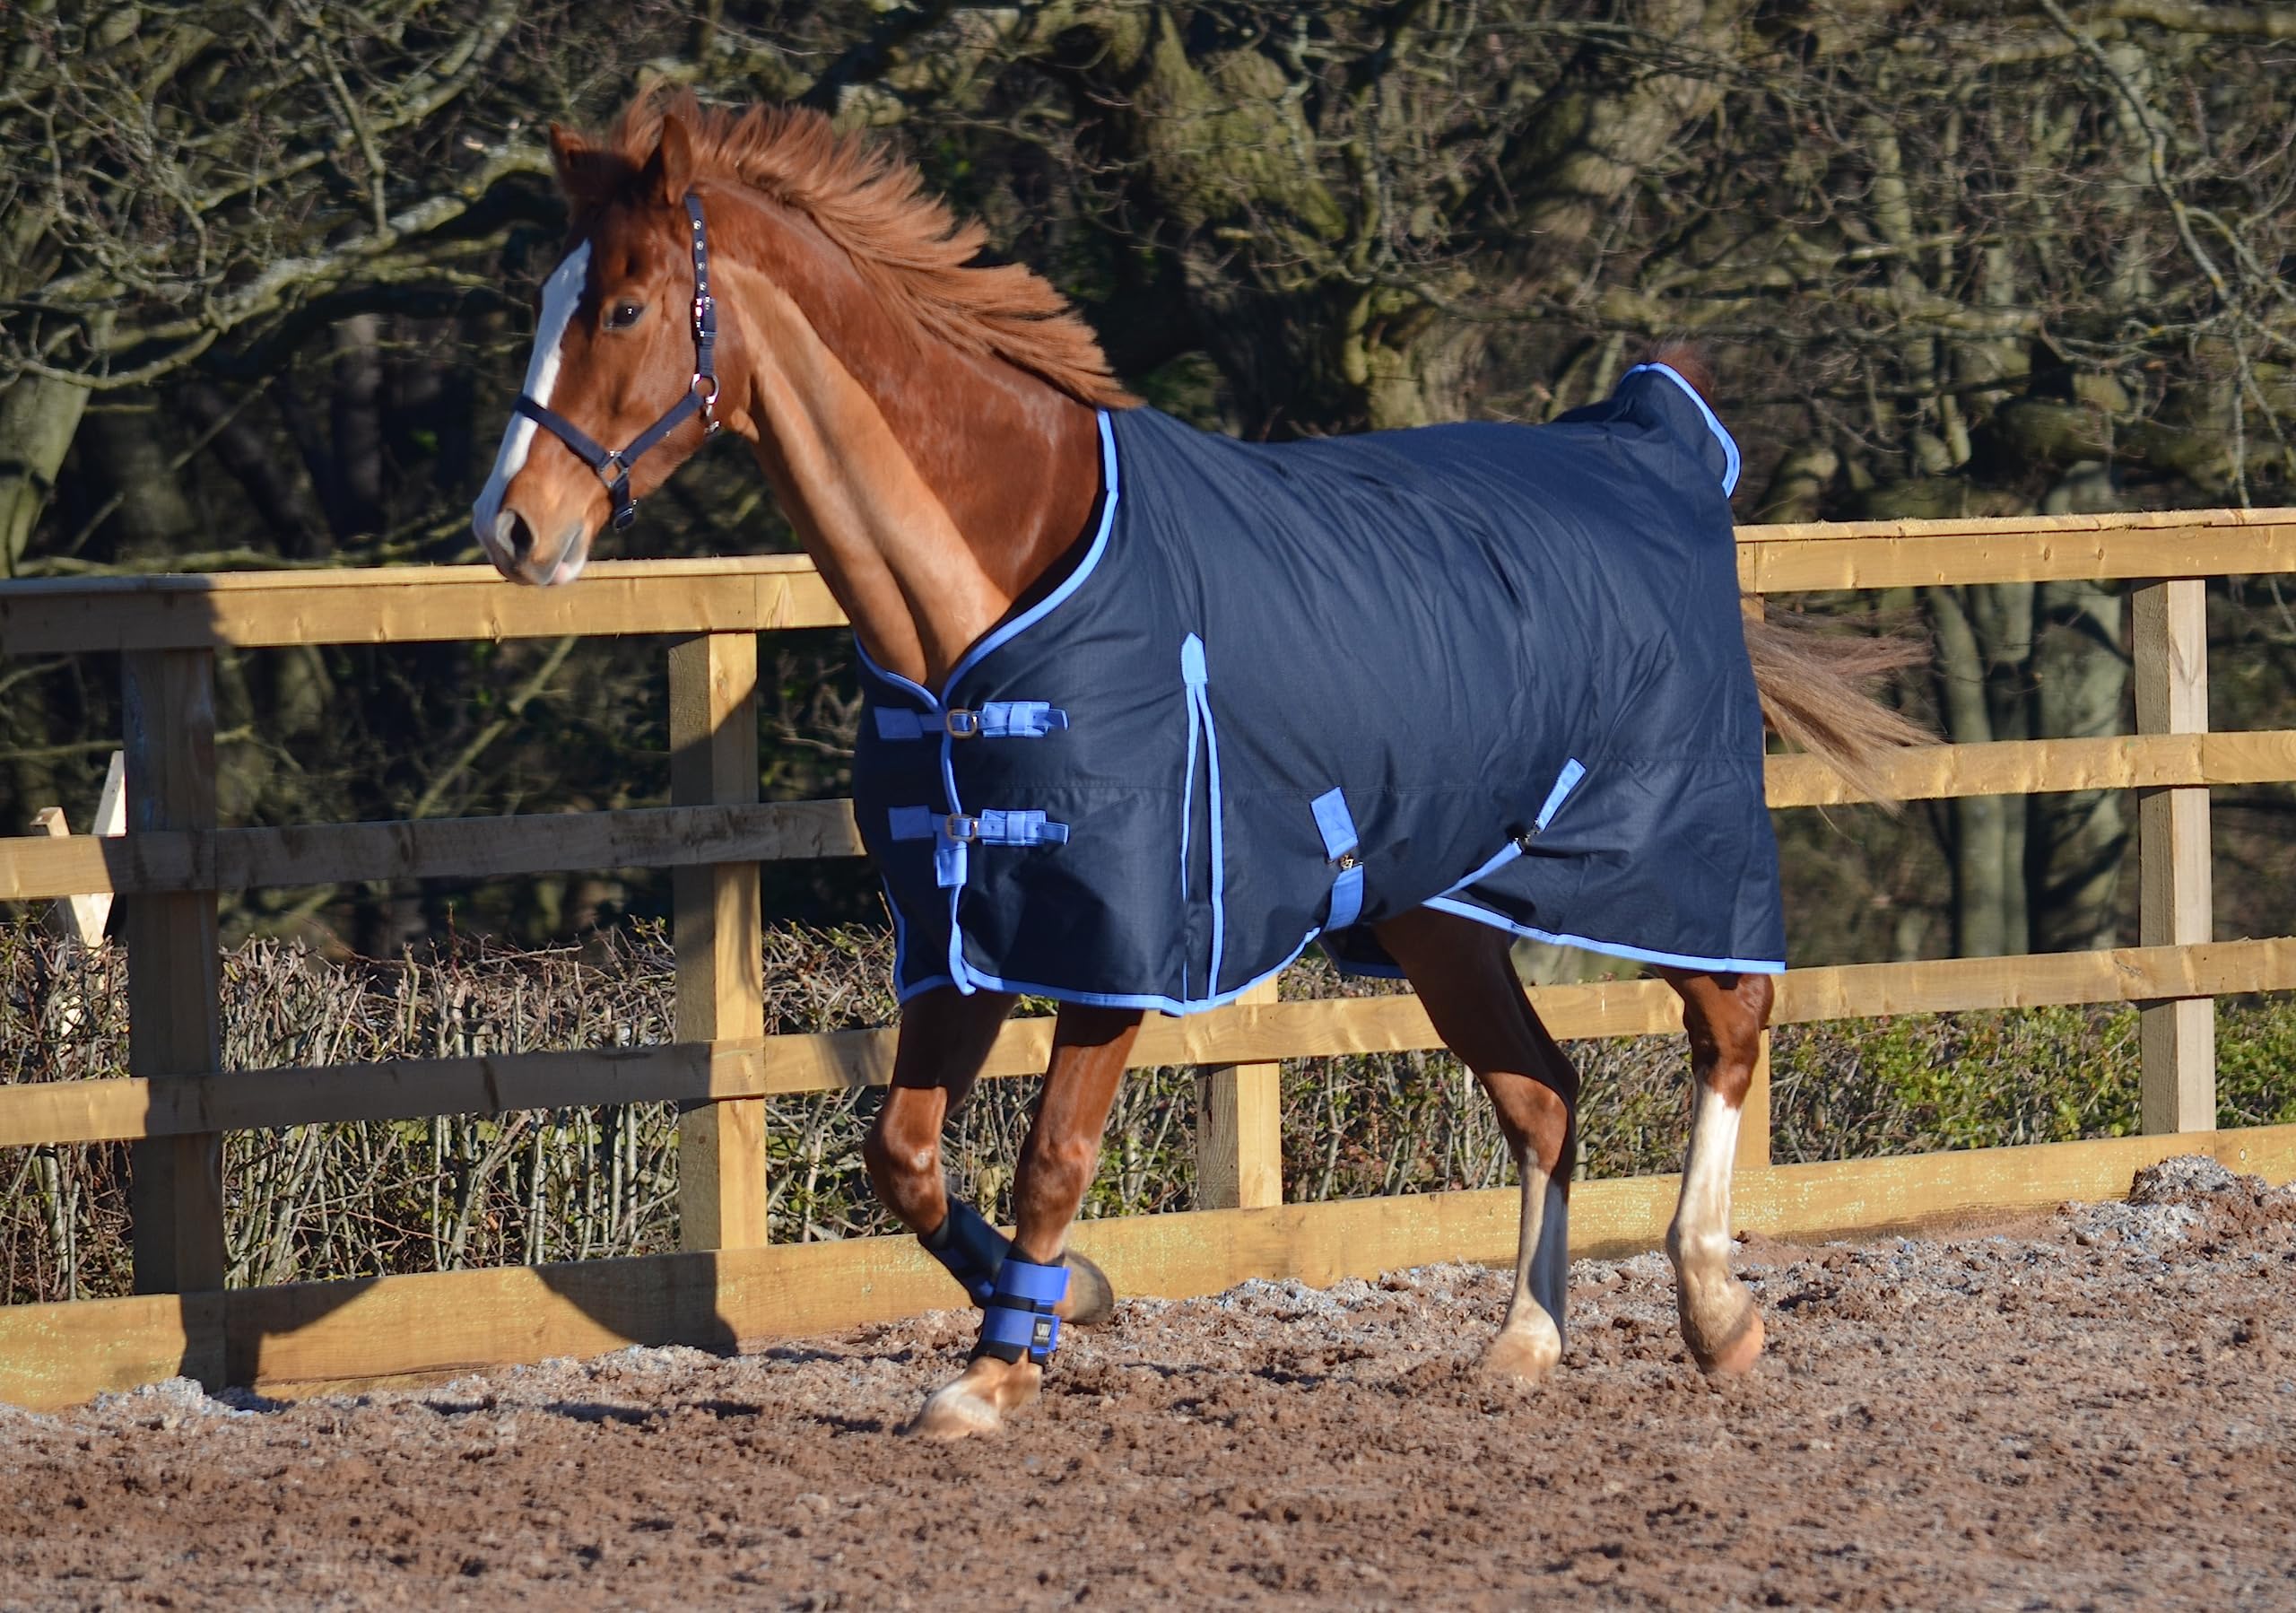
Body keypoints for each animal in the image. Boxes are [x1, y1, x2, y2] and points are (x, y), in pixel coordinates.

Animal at [471, 94, 1922, 1440]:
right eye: (547, 300)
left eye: (622, 307)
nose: (513, 527)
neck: (987, 603)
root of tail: (1659, 452)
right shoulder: (965, 930)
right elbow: (904, 1154)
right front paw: (1067, 1301)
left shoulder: (1119, 943)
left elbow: (1052, 1155)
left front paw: (995, 1373)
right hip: (1436, 916)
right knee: (1545, 1097)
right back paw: (1524, 1340)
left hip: (1661, 866)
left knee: (1727, 1025)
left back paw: (1716, 1308)